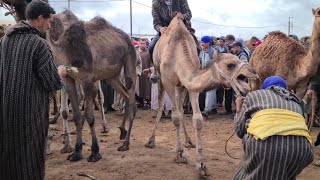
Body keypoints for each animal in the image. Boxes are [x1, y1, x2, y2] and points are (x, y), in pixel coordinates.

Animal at [146, 15, 258, 176]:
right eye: (230, 65)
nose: (253, 72)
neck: (177, 55)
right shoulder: (168, 82)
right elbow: (175, 117)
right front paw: (180, 155)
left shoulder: (190, 86)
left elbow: (197, 120)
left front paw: (201, 165)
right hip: (160, 78)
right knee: (162, 106)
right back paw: (151, 140)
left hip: (180, 87)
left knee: (180, 109)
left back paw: (188, 141)